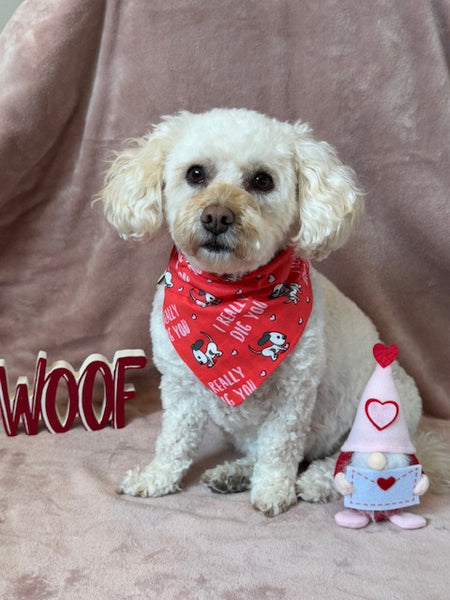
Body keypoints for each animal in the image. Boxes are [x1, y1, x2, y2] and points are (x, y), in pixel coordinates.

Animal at [99, 108, 440, 516]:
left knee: (350, 461)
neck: (231, 294)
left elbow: (279, 448)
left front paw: (274, 490)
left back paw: (316, 480)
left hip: (381, 415)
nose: (216, 216)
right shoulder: (180, 388)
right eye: (196, 173)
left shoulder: (293, 396)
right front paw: (157, 477)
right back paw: (234, 473)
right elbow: (174, 440)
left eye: (262, 180)